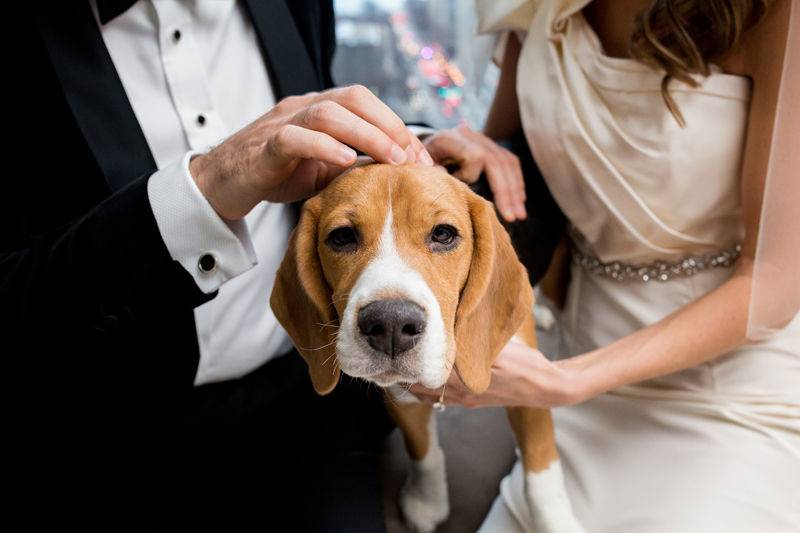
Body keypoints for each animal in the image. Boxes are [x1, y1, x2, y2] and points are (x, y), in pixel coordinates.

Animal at [268, 164, 580, 528]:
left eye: (443, 234)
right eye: (342, 237)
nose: (390, 324)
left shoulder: (532, 389)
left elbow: (541, 473)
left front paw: (557, 524)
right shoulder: (401, 395)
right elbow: (423, 450)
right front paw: (427, 500)